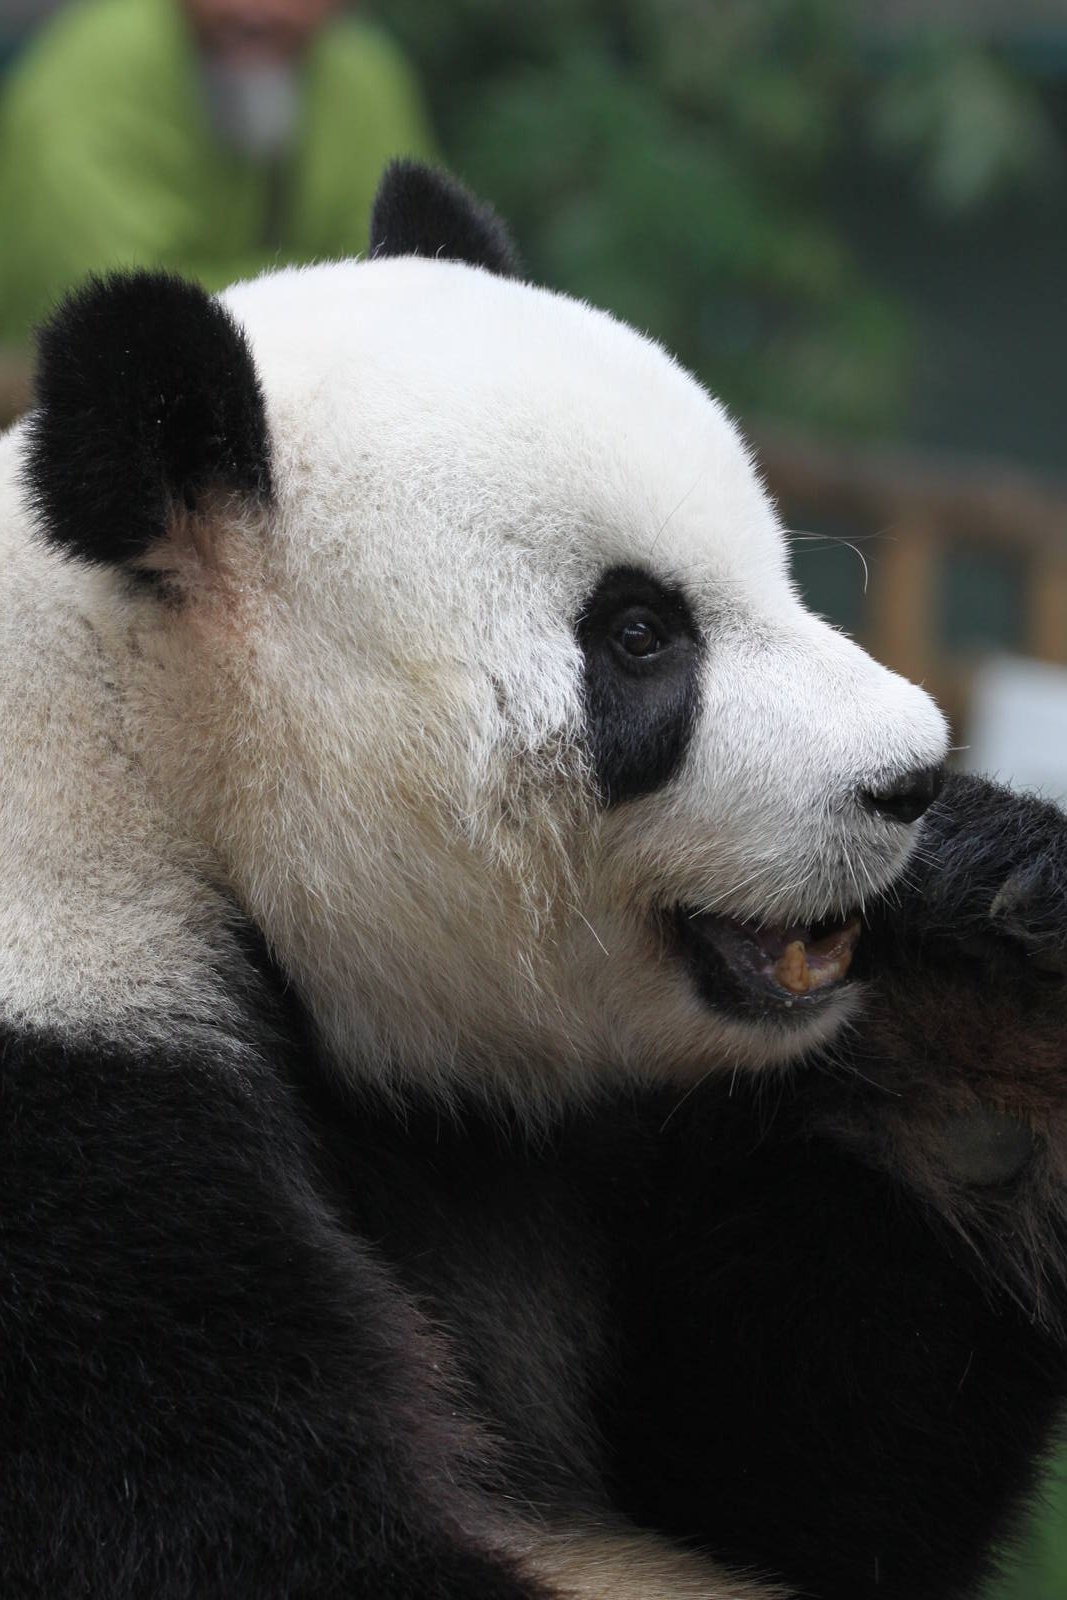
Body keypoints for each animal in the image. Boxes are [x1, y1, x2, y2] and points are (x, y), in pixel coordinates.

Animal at [1, 160, 1066, 1600]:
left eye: (777, 568)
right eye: (639, 636)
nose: (902, 777)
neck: (148, 749)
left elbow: (786, 1470)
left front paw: (990, 971)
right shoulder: (63, 1104)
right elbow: (250, 1531)